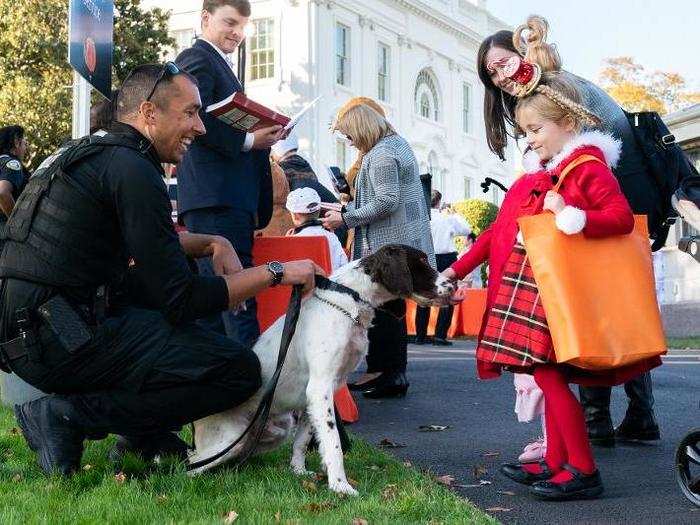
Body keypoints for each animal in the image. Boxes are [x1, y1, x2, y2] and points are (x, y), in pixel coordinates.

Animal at [189, 244, 456, 494]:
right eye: (421, 261)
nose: (453, 285)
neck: (352, 299)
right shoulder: (320, 387)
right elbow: (333, 441)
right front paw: (340, 486)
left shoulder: (319, 393)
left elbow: (303, 441)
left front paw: (299, 472)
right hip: (229, 441)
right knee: (191, 465)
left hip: (277, 430)